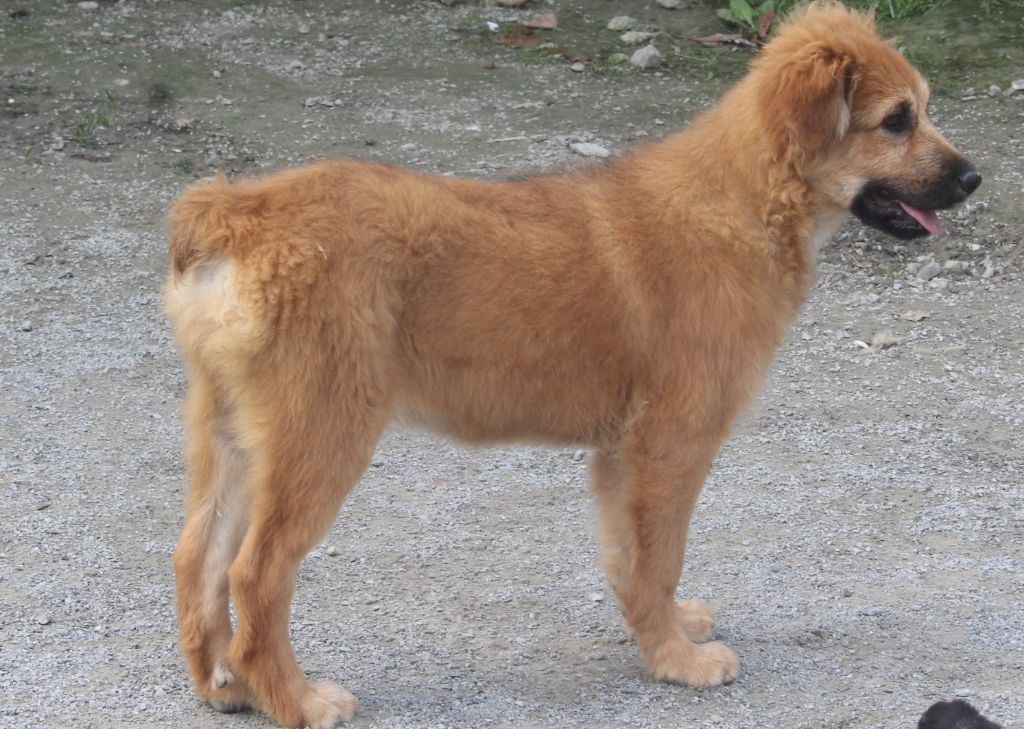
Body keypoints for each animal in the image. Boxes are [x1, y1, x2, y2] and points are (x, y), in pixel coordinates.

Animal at [163, 2, 978, 724]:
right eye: (896, 120)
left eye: (920, 110)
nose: (973, 179)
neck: (746, 202)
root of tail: (238, 215)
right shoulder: (672, 442)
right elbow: (661, 553)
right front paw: (679, 661)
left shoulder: (621, 451)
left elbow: (631, 559)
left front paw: (665, 630)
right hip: (320, 437)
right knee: (254, 574)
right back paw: (295, 700)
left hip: (229, 437)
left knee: (197, 559)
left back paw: (226, 686)